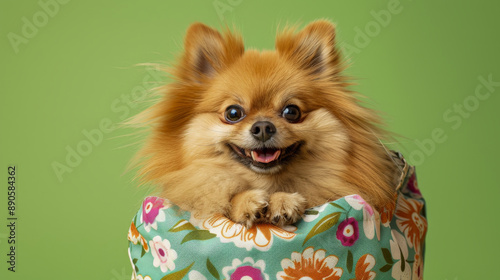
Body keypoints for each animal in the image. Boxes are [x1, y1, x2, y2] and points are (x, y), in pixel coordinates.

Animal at [131, 20, 396, 229]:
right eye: (233, 113)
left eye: (292, 112)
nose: (263, 127)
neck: (267, 184)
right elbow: (222, 197)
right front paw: (247, 202)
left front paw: (284, 201)